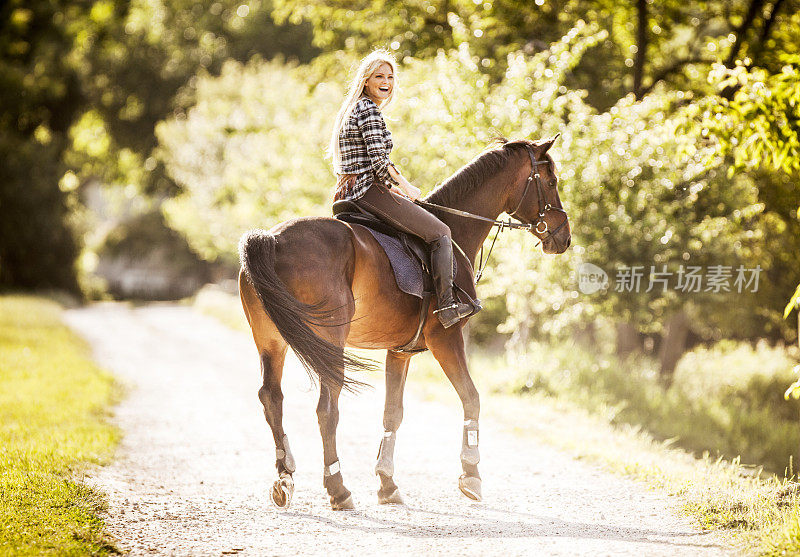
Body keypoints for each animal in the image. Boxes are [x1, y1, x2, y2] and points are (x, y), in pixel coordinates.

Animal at [236, 136, 568, 508]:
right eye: (551, 182)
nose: (564, 237)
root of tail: (273, 239)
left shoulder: (400, 350)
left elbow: (392, 412)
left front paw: (387, 483)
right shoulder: (446, 339)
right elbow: (472, 398)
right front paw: (471, 475)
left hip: (271, 341)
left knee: (272, 398)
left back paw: (284, 477)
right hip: (330, 343)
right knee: (326, 410)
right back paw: (338, 488)